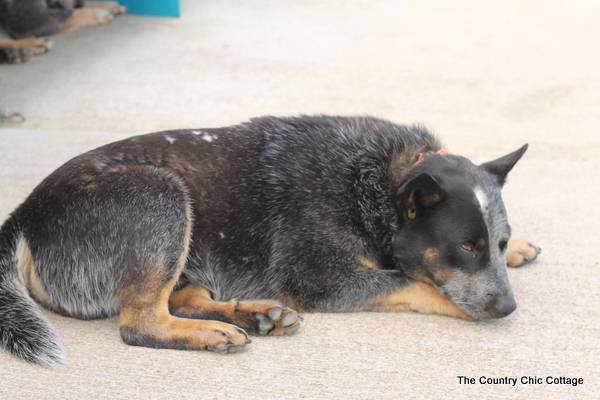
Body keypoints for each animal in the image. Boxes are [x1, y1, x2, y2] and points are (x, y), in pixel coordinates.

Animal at [0, 116, 540, 366]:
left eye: (494, 241)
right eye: (466, 247)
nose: (509, 307)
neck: (379, 183)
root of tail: (24, 212)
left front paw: (520, 247)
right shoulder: (323, 278)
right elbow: (417, 283)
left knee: (185, 297)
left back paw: (253, 316)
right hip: (160, 194)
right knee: (139, 322)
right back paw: (213, 332)